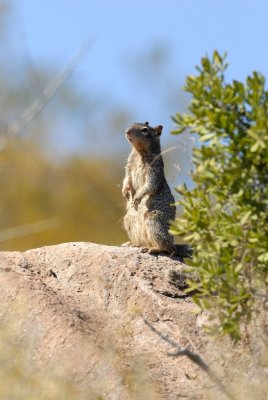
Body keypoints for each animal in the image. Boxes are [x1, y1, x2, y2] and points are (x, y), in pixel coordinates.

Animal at [122, 122, 192, 260]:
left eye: (145, 130)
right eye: (131, 124)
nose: (127, 131)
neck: (139, 153)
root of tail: (173, 243)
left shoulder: (155, 171)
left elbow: (150, 185)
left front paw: (137, 198)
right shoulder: (129, 166)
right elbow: (127, 179)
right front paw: (125, 193)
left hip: (155, 222)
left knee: (166, 248)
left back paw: (153, 248)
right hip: (129, 221)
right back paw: (134, 244)